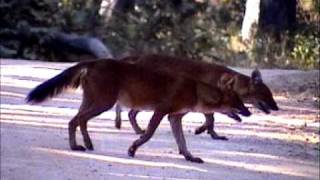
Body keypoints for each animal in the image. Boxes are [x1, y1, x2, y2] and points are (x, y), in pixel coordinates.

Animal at [26, 59, 251, 163]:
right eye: (238, 102)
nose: (249, 113)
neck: (195, 90)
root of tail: (95, 61)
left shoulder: (174, 117)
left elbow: (182, 142)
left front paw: (190, 157)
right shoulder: (161, 111)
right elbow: (148, 134)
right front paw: (133, 148)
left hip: (93, 102)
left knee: (78, 120)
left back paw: (87, 144)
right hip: (103, 103)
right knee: (75, 121)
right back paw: (76, 147)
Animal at [115, 54, 278, 139]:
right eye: (267, 94)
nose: (277, 107)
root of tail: (139, 56)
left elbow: (211, 119)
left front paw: (209, 132)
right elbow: (211, 120)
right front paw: (206, 132)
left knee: (128, 111)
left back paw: (134, 129)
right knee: (128, 111)